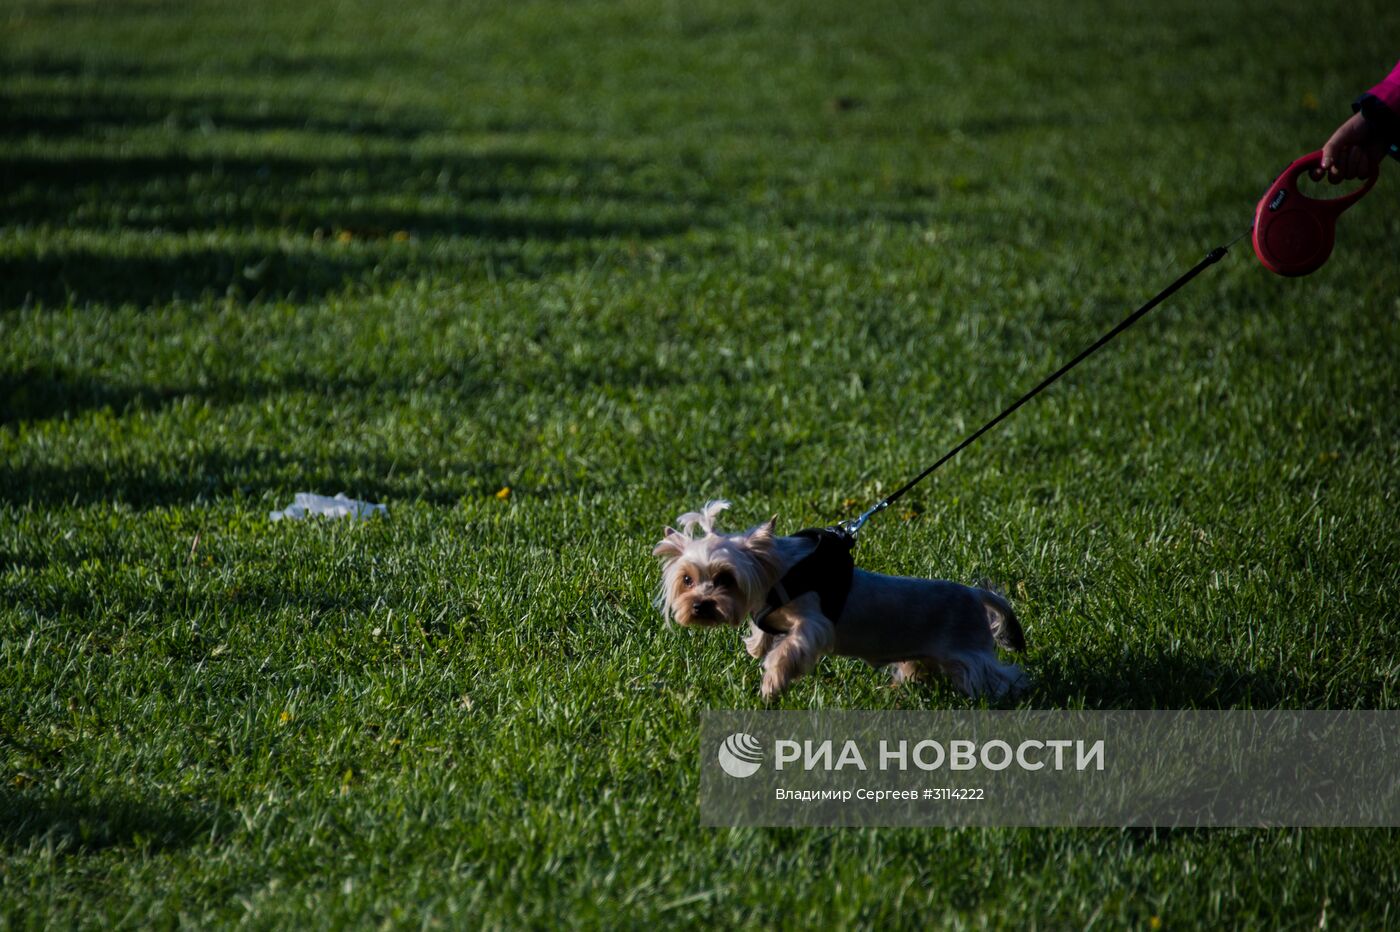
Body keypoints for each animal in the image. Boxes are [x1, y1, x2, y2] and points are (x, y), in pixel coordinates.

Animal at [655, 500, 1030, 696]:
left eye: (725, 578)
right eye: (687, 579)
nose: (699, 606)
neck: (779, 570)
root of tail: (975, 593)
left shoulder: (814, 622)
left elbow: (790, 648)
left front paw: (772, 683)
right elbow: (764, 633)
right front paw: (756, 646)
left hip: (969, 651)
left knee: (997, 676)